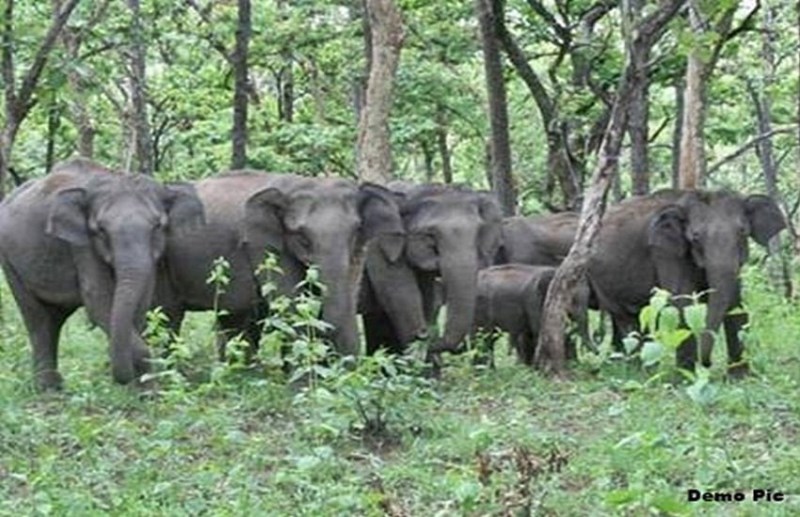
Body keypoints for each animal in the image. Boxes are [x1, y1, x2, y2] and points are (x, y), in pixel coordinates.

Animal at [0, 158, 205, 390]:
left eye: (158, 226)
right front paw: (147, 389)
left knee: (54, 319)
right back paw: (49, 390)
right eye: (100, 230)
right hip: (9, 262)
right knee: (37, 319)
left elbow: (141, 299)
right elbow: (99, 301)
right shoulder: (82, 246)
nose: (119, 379)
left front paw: (138, 389)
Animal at [155, 171, 405, 358]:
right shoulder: (264, 246)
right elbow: (291, 306)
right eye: (302, 238)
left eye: (355, 231)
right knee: (169, 315)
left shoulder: (360, 250)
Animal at [361, 183, 503, 359]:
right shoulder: (378, 248)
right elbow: (401, 297)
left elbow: (425, 300)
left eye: (478, 231)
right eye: (429, 234)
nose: (423, 334)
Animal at [587, 189, 785, 375]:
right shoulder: (666, 251)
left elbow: (736, 304)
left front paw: (740, 377)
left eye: (742, 231)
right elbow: (682, 302)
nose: (706, 364)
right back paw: (635, 370)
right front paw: (685, 377)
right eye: (695, 237)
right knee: (627, 318)